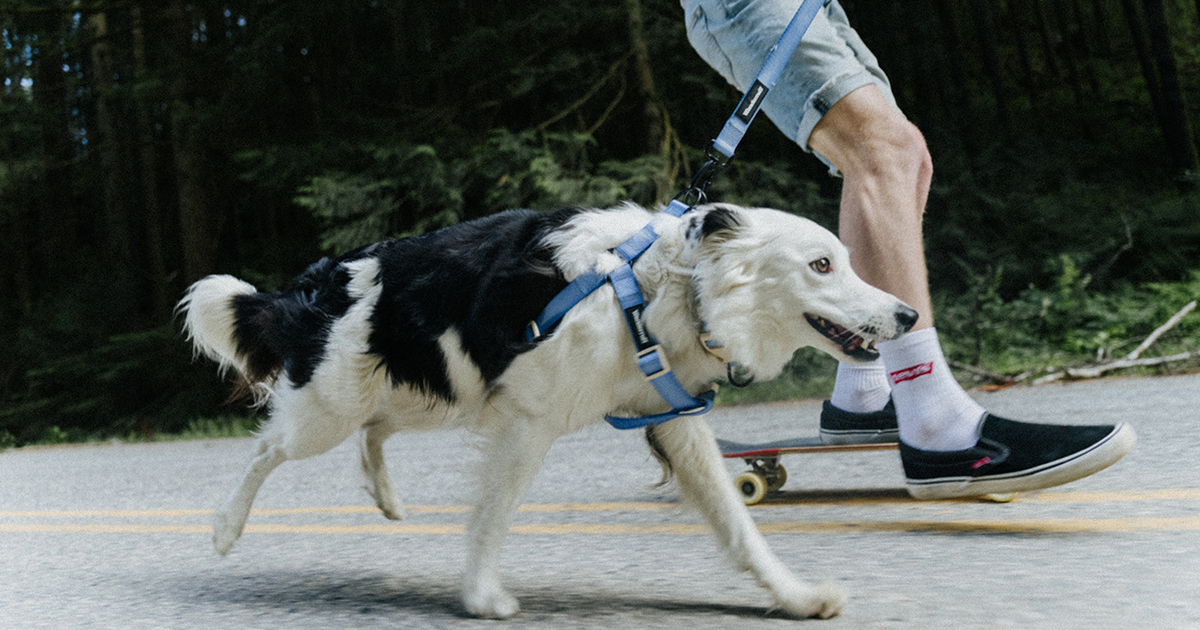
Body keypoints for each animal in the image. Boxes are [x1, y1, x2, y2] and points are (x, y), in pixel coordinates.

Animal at [177, 202, 912, 619]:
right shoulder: (530, 421)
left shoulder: (673, 422)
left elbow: (739, 526)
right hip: (329, 410)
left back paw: (385, 496)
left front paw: (794, 597)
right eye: (822, 264)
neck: (660, 286)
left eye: (844, 260)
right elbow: (493, 516)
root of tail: (319, 280)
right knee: (268, 448)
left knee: (373, 432)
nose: (907, 315)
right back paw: (223, 528)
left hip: (428, 391)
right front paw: (480, 598)